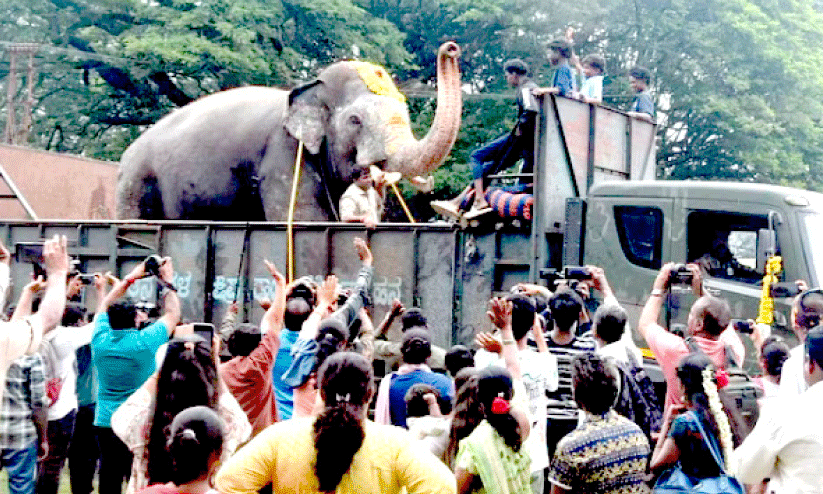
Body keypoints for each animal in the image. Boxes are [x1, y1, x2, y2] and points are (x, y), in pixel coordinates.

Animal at [116, 40, 464, 222]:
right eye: (355, 120)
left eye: (405, 113)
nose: (451, 49)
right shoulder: (283, 153)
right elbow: (305, 220)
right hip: (137, 182)